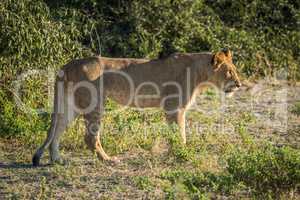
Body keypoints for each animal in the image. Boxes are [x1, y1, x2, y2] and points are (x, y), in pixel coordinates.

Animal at [32, 48, 241, 166]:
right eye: (230, 72)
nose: (239, 84)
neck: (200, 74)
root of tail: (66, 66)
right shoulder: (174, 107)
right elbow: (180, 134)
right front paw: (182, 154)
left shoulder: (172, 109)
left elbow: (175, 133)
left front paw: (176, 152)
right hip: (95, 103)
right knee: (90, 137)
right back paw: (108, 160)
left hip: (71, 104)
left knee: (57, 129)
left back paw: (57, 160)